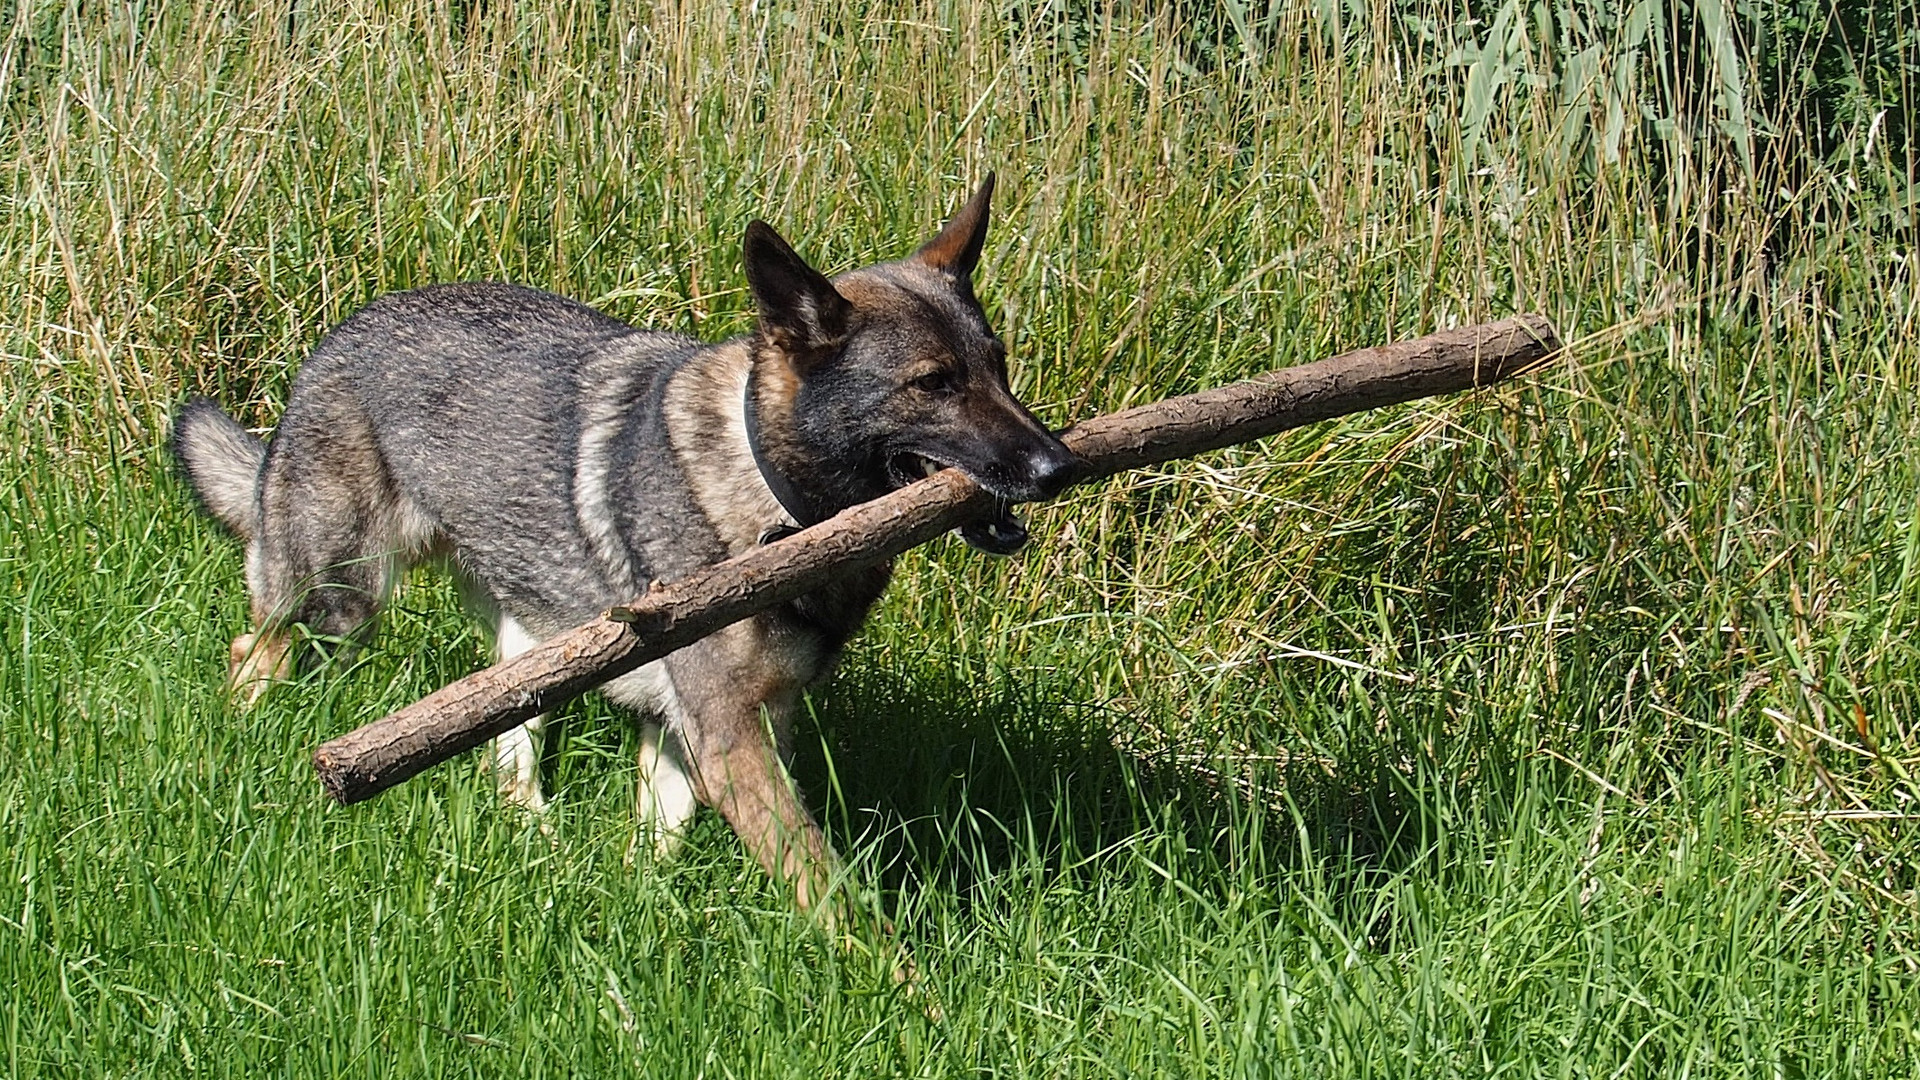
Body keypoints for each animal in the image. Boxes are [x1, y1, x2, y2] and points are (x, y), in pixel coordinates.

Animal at [174, 176, 1082, 914]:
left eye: (999, 366)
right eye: (933, 384)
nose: (1060, 466)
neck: (773, 497)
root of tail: (344, 331)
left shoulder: (712, 729)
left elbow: (657, 843)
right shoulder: (729, 736)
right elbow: (826, 890)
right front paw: (898, 990)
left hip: (530, 647)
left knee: (504, 750)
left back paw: (535, 835)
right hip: (342, 592)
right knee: (255, 645)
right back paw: (245, 735)